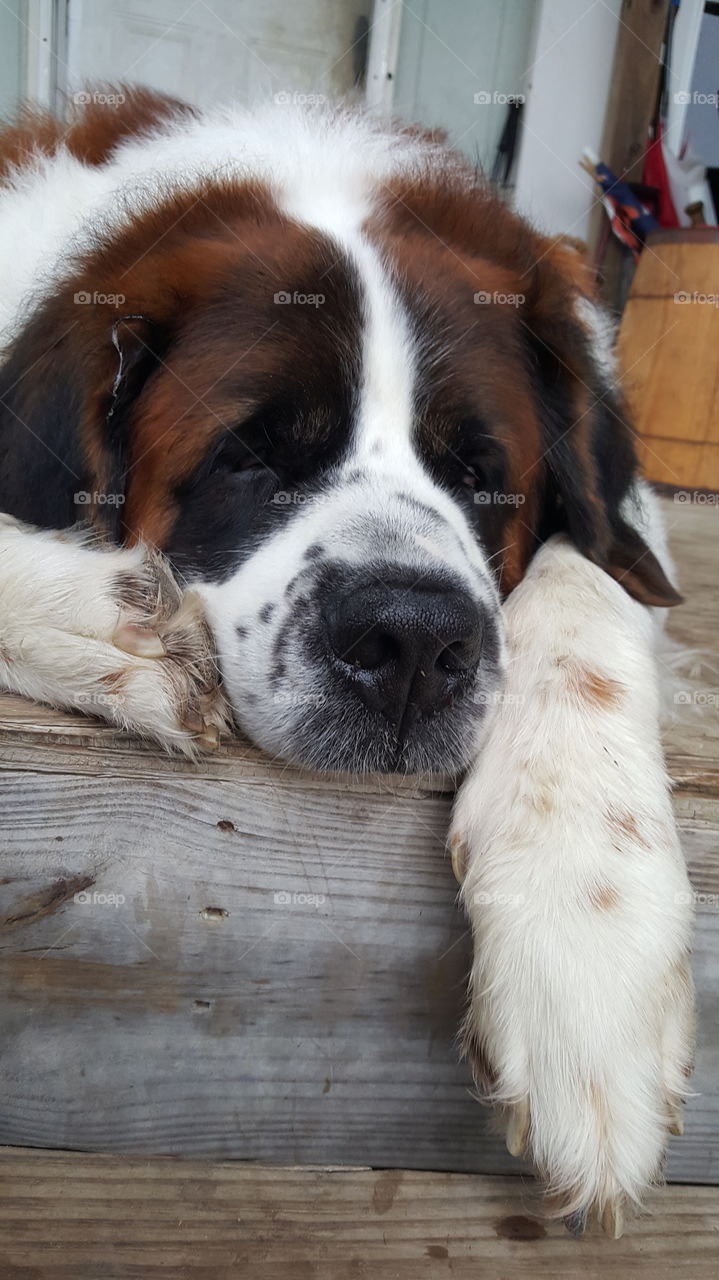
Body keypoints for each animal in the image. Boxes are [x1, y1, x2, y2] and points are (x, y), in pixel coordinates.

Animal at [0, 87, 695, 1228]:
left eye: (480, 472)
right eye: (248, 456)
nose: (409, 641)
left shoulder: (624, 529)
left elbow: (586, 577)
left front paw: (586, 944)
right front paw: (108, 616)